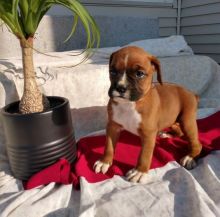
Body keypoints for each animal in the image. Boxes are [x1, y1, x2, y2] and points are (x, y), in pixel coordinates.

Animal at [93, 45, 201, 183]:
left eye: (139, 74)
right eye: (112, 71)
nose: (120, 88)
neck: (130, 104)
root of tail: (192, 93)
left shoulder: (148, 134)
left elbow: (144, 154)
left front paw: (139, 171)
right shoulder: (113, 126)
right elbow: (109, 146)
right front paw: (105, 161)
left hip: (187, 121)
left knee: (196, 143)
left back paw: (190, 157)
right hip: (175, 120)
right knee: (179, 130)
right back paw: (167, 134)